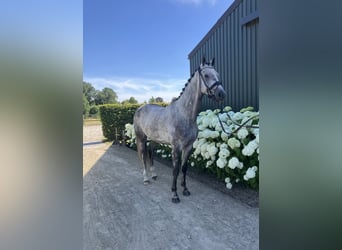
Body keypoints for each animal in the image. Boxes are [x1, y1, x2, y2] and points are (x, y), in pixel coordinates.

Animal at [134, 57, 227, 203]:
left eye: (217, 74)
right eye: (206, 75)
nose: (221, 94)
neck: (184, 114)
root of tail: (139, 108)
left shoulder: (188, 146)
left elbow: (184, 168)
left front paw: (185, 189)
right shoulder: (176, 147)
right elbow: (175, 170)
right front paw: (174, 194)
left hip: (154, 139)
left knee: (151, 153)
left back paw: (154, 175)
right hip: (141, 138)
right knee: (142, 155)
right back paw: (146, 178)